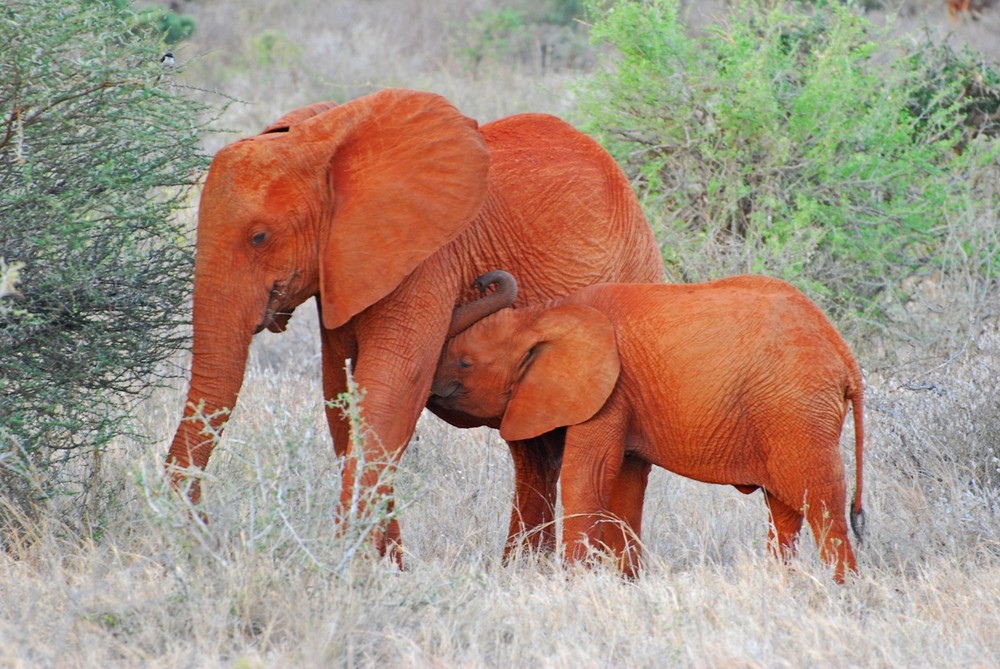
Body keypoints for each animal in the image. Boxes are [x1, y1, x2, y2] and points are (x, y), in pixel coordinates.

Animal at [164, 87, 664, 560]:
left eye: (259, 237)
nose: (205, 534)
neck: (325, 145)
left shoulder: (427, 261)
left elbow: (390, 391)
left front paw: (355, 565)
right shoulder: (343, 268)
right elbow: (342, 398)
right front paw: (387, 566)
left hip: (635, 272)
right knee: (533, 449)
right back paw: (522, 568)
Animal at [434, 270, 864, 580]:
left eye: (465, 363)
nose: (481, 279)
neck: (541, 316)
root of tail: (845, 357)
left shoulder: (608, 389)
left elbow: (587, 474)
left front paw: (572, 584)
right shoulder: (626, 397)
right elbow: (625, 482)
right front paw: (625, 583)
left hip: (799, 410)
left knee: (822, 505)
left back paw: (842, 593)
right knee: (785, 511)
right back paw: (780, 586)